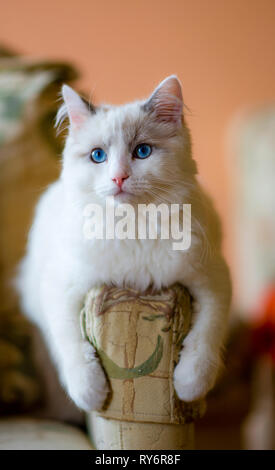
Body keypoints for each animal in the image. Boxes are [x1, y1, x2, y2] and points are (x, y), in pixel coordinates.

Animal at [16, 76, 233, 412]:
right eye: (98, 156)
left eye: (142, 151)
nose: (118, 178)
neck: (132, 224)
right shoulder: (58, 288)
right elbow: (70, 342)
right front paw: (90, 393)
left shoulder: (214, 279)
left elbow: (206, 335)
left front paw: (189, 385)